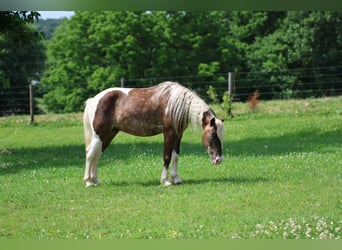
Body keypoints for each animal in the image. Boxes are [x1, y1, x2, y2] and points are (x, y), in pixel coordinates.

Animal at [81, 82, 223, 188]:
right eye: (212, 136)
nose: (219, 160)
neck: (175, 104)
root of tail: (94, 99)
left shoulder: (178, 135)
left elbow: (175, 157)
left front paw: (176, 179)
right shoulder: (169, 133)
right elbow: (167, 157)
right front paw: (166, 181)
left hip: (108, 135)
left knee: (97, 155)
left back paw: (95, 180)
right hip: (99, 135)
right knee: (90, 154)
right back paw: (88, 182)